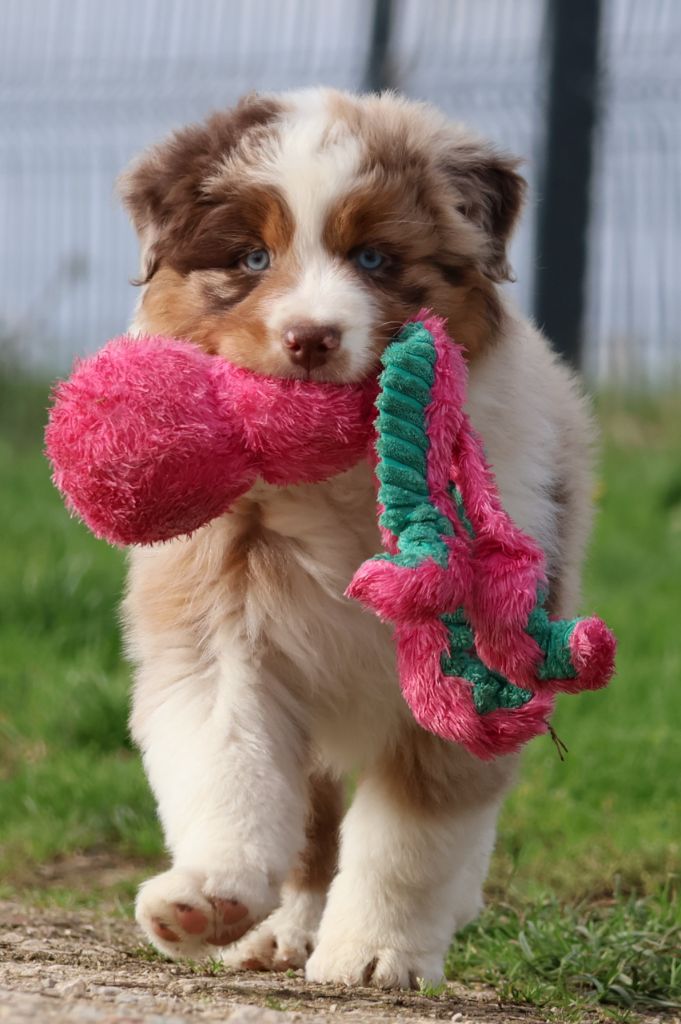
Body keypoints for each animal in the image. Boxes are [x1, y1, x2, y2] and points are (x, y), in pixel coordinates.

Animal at [119, 88, 594, 988]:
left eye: (373, 258)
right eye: (252, 258)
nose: (310, 337)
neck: (337, 480)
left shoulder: (468, 659)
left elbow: (412, 834)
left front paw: (376, 951)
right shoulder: (218, 621)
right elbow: (227, 757)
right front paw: (211, 896)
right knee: (311, 823)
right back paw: (276, 927)